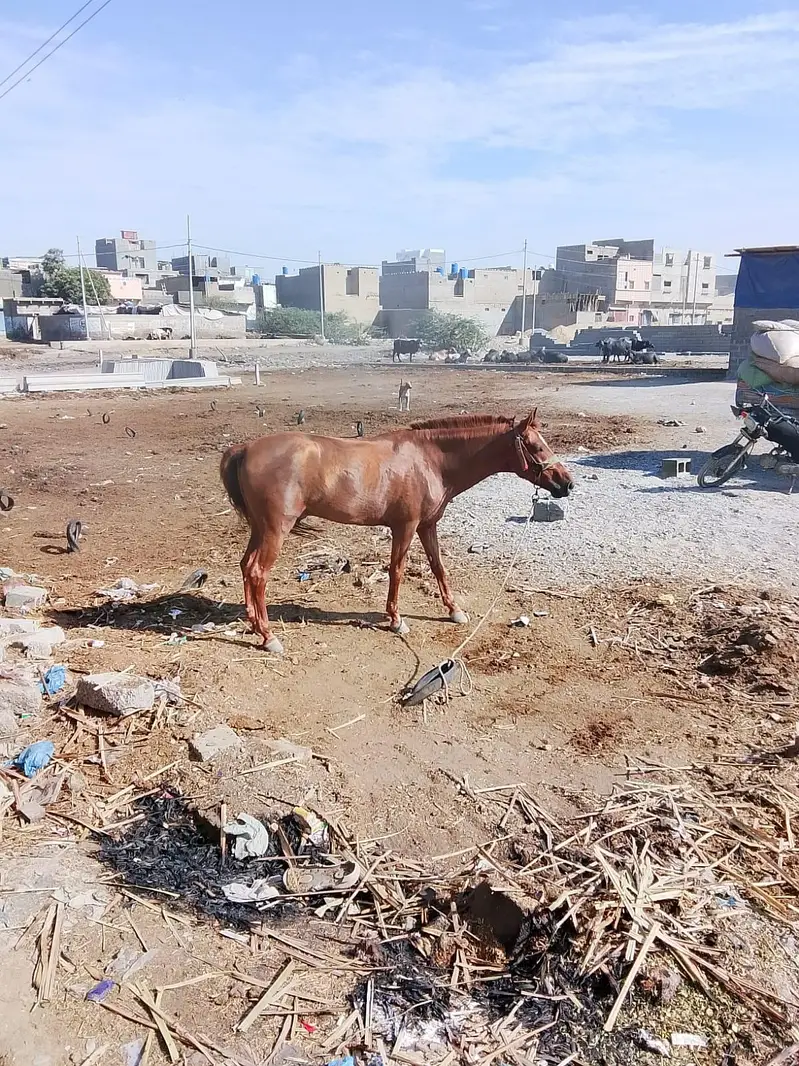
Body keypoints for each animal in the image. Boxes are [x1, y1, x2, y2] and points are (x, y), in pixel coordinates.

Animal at [220, 412, 573, 654]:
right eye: (535, 446)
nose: (566, 484)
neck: (431, 459)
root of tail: (244, 448)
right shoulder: (406, 526)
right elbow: (397, 571)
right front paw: (395, 619)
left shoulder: (428, 525)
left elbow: (438, 567)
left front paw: (454, 610)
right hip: (275, 530)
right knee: (258, 572)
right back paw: (269, 636)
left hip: (260, 528)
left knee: (246, 567)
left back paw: (253, 623)